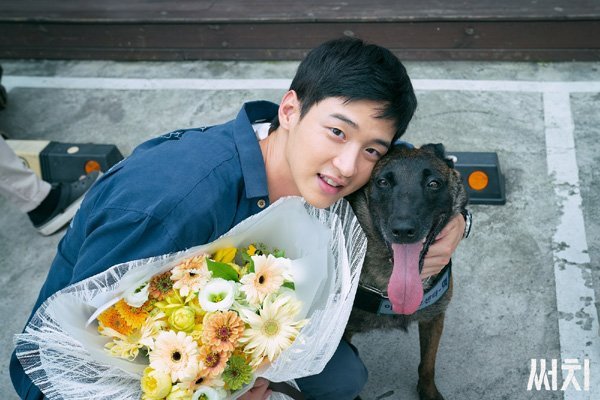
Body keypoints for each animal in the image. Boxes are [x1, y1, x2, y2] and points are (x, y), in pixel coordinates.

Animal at [346, 143, 468, 400]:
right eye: (382, 182)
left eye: (434, 183)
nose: (403, 230)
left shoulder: (434, 317)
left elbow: (427, 365)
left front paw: (429, 392)